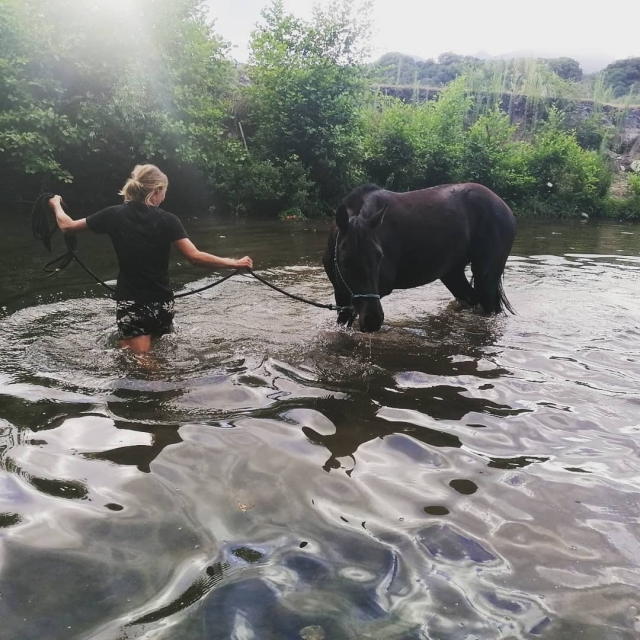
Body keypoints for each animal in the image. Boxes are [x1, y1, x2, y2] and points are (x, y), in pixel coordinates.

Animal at [322, 183, 517, 333]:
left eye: (379, 255)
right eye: (345, 260)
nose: (373, 320)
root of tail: (504, 207)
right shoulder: (342, 293)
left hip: (486, 277)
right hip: (452, 274)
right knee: (471, 299)